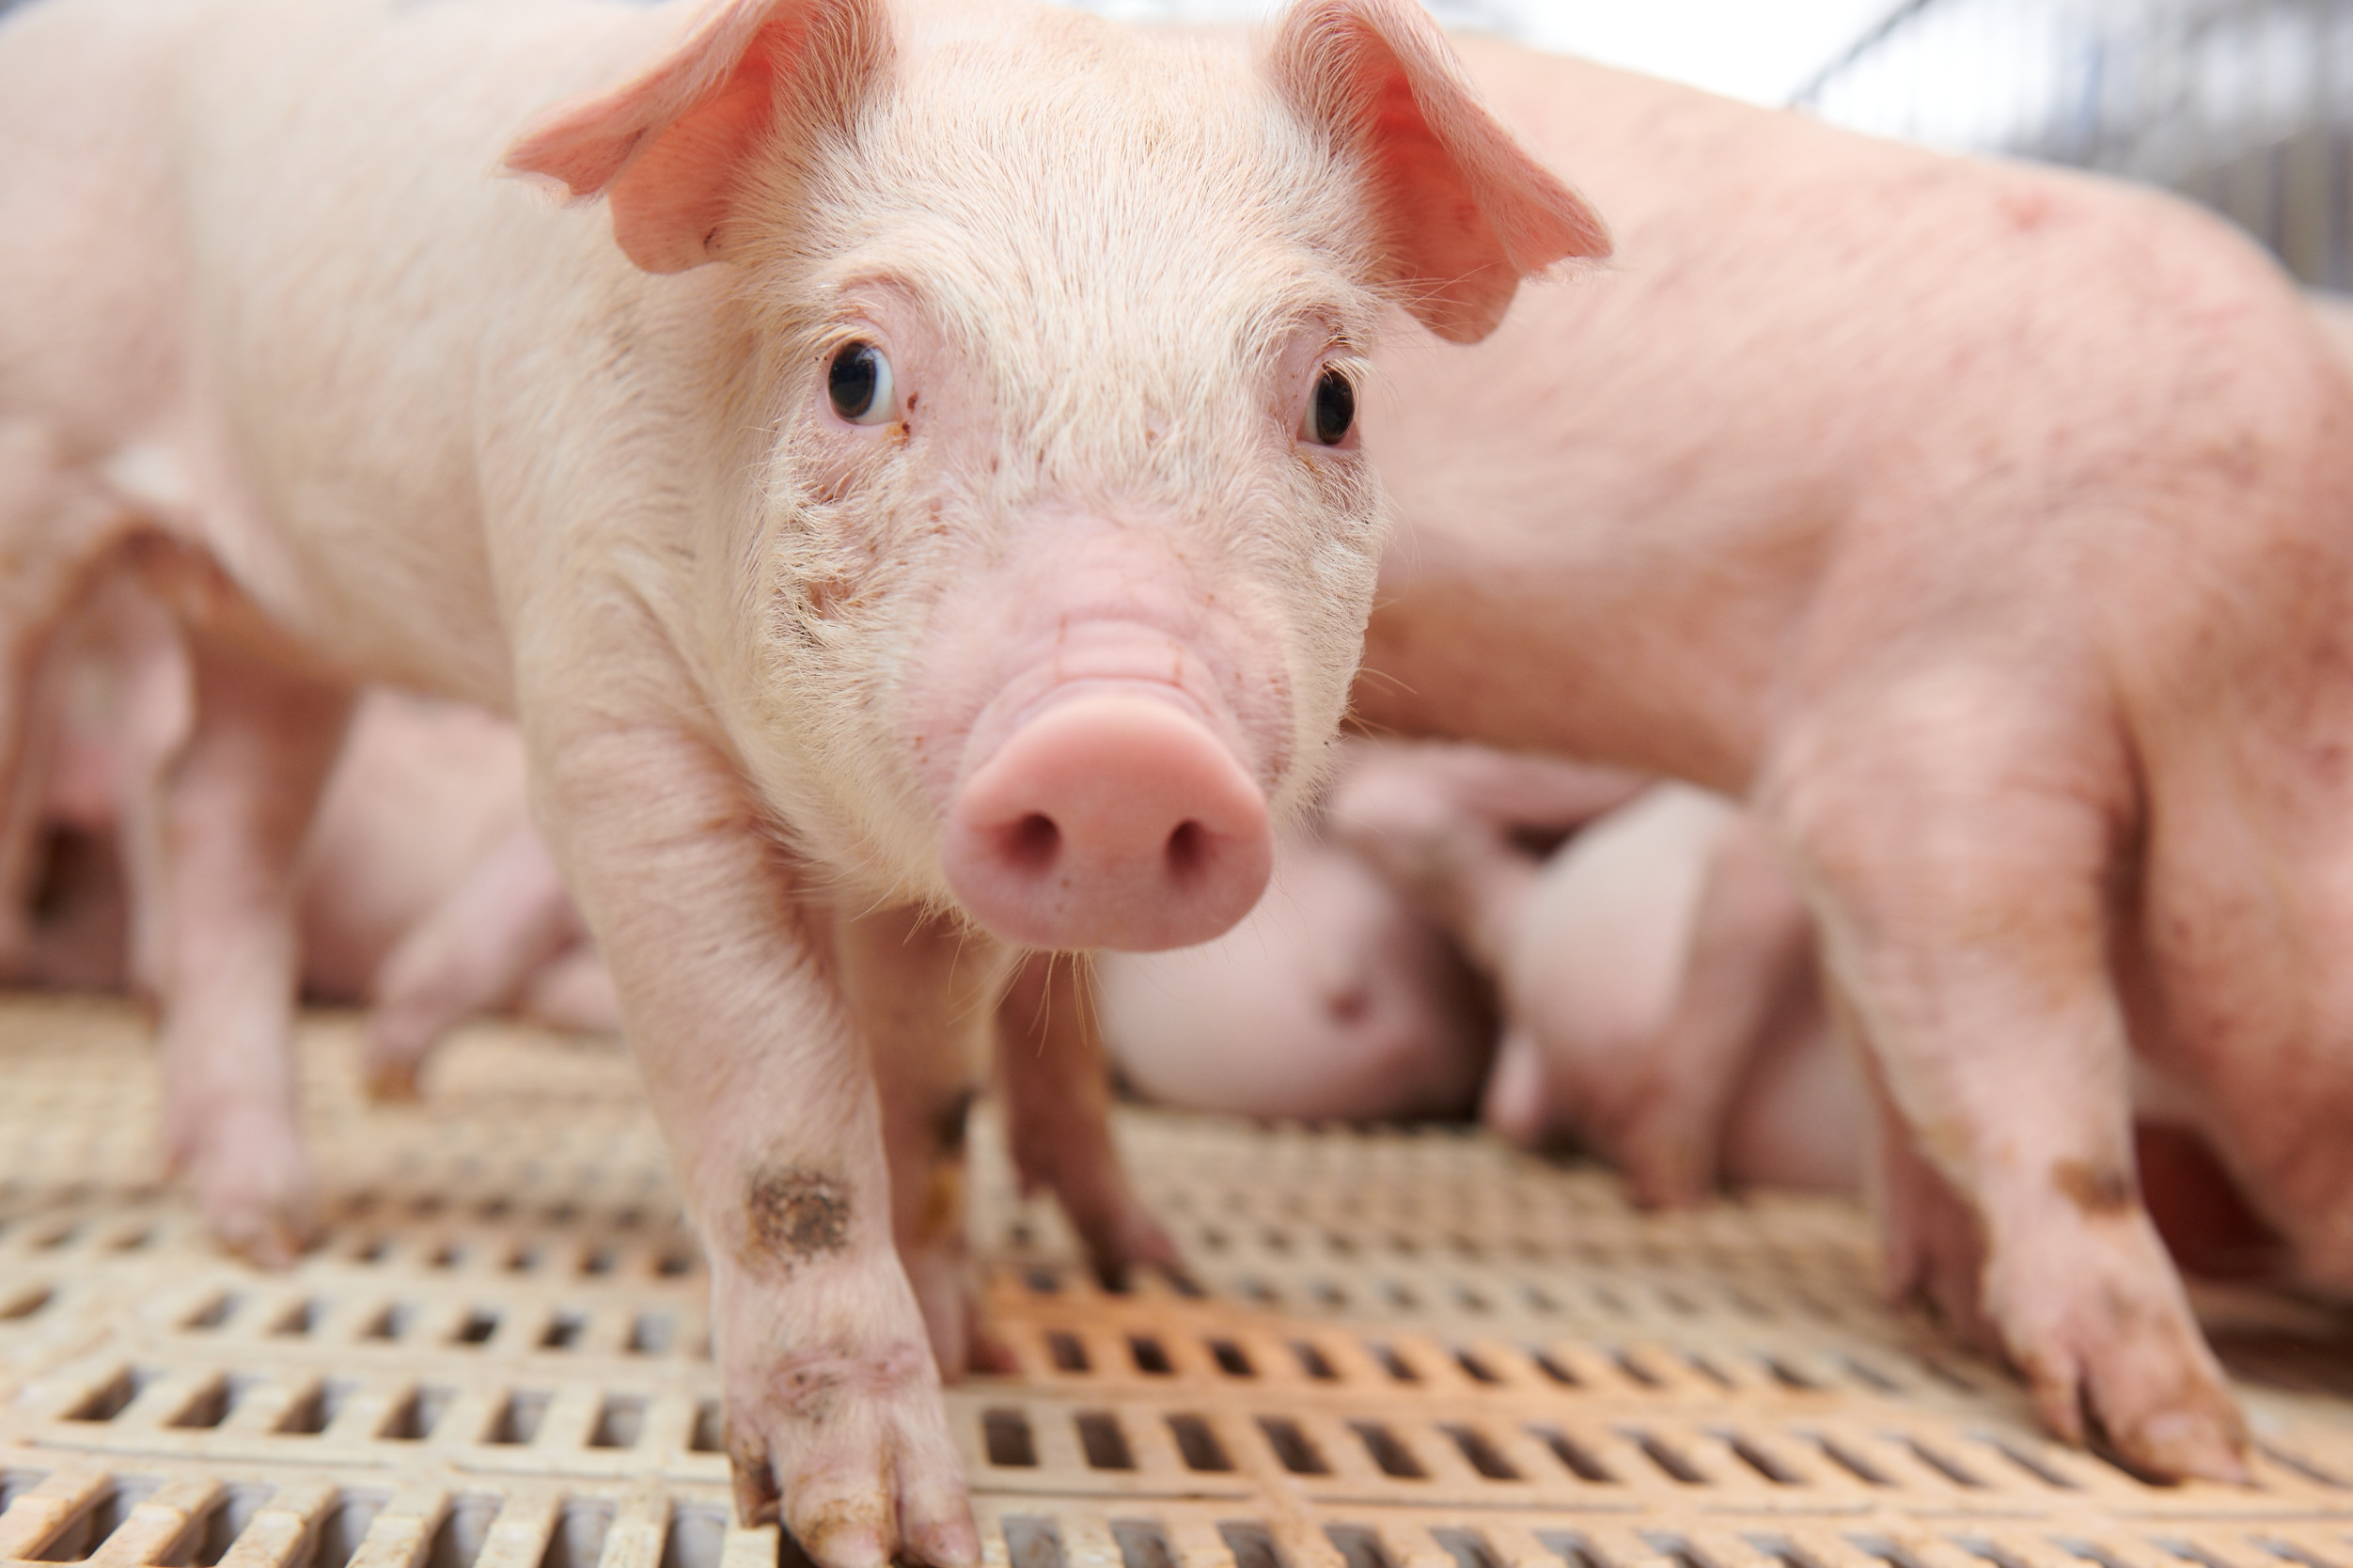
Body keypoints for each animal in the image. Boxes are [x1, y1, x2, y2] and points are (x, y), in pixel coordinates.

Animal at [0, 0, 1607, 1556]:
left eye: (1332, 399)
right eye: (856, 374)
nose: (1120, 740)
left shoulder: (937, 879)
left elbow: (927, 1078)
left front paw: (968, 1346)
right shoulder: (606, 695)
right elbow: (780, 1105)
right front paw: (872, 1524)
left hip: (278, 618)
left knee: (215, 810)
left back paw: (264, 1220)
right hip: (43, 481)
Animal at [1340, 37, 2353, 1481]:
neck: (2255, 677)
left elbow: (1898, 1062)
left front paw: (1944, 1310)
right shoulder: (1943, 699)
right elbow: (2050, 1077)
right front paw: (2187, 1444)